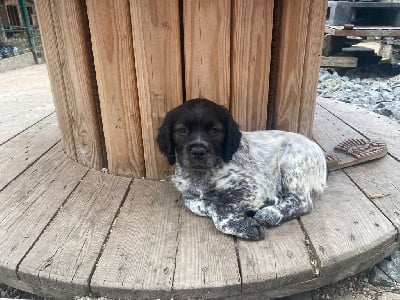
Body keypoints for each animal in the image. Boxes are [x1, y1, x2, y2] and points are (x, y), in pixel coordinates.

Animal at [155, 99, 324, 240]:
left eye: (215, 130)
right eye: (182, 130)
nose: (198, 151)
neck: (201, 175)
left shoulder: (251, 186)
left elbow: (221, 207)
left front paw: (246, 226)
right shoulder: (190, 196)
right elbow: (199, 205)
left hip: (290, 163)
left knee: (302, 202)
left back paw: (269, 213)